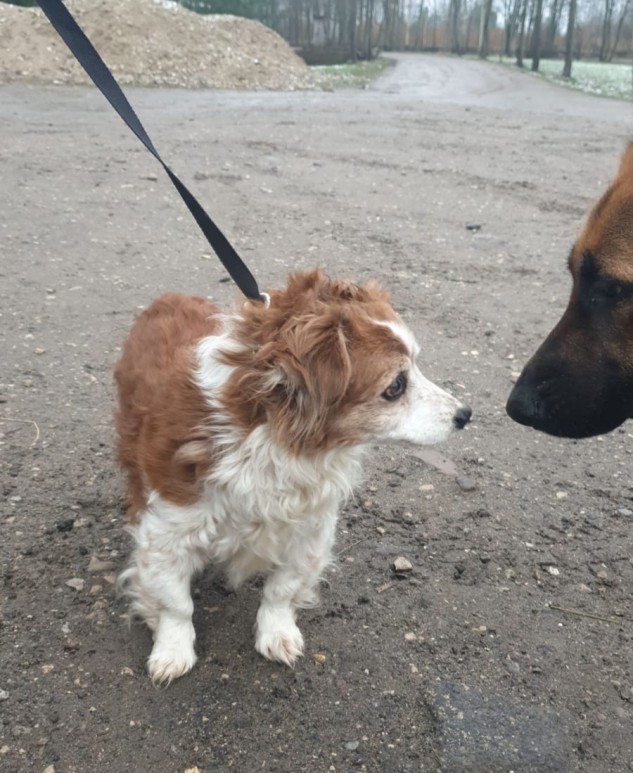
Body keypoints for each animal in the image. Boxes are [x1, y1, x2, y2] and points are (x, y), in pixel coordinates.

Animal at [115, 269, 471, 684]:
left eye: (416, 365)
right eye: (396, 386)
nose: (465, 414)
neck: (271, 440)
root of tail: (168, 297)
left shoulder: (310, 530)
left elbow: (281, 591)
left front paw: (277, 633)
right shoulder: (166, 533)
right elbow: (175, 603)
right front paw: (172, 650)